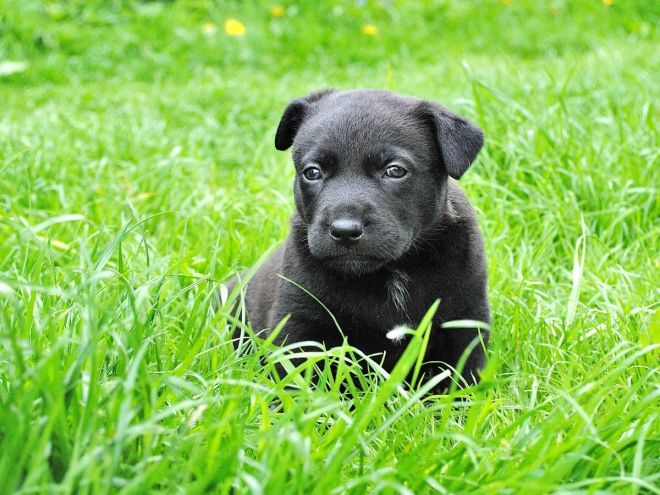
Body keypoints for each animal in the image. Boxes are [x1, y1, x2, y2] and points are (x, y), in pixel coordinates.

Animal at [229, 89, 488, 390]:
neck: (393, 271)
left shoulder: (464, 323)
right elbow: (297, 382)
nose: (344, 230)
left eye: (395, 170)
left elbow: (459, 383)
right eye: (312, 172)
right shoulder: (299, 323)